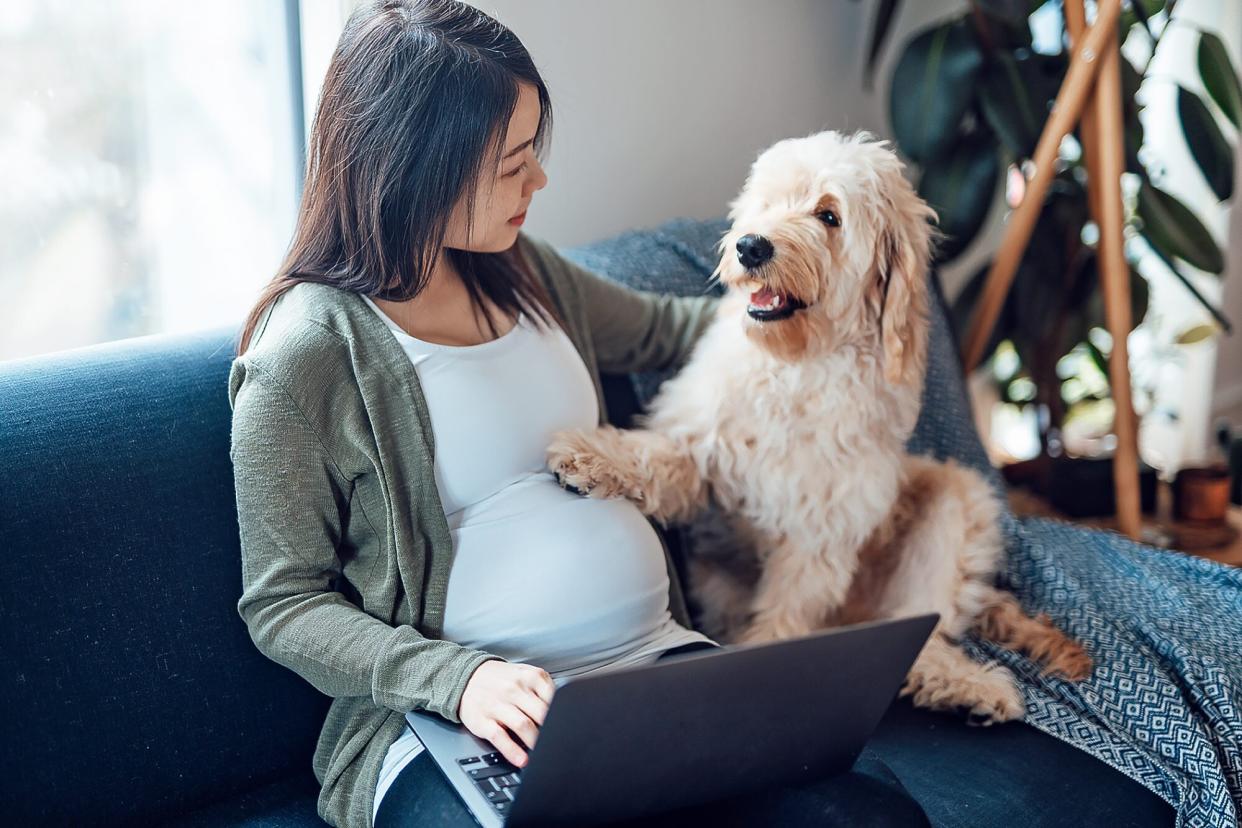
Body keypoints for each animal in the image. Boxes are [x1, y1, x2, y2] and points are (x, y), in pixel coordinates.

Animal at [548, 130, 1092, 724]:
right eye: (767, 202)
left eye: (829, 216)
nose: (751, 246)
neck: (797, 368)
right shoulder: (704, 452)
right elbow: (656, 457)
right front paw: (589, 454)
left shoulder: (823, 530)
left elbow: (788, 612)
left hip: (958, 501)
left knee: (929, 627)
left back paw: (967, 684)